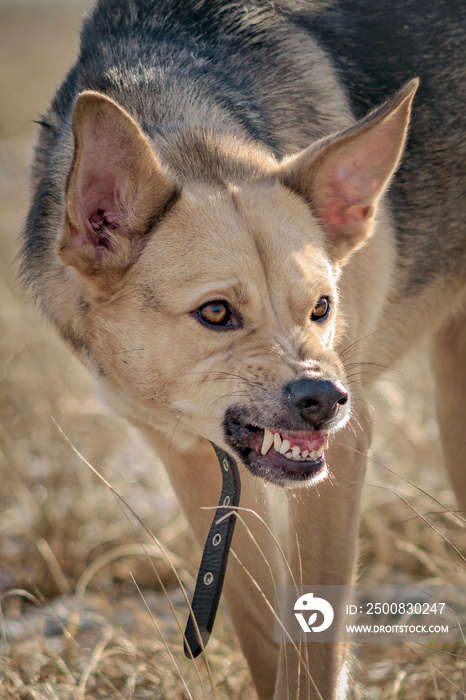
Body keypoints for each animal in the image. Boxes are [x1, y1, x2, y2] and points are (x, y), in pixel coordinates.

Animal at [20, 2, 466, 696]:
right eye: (216, 313)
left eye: (322, 307)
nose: (325, 399)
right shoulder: (193, 461)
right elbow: (261, 630)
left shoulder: (342, 460)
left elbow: (312, 652)